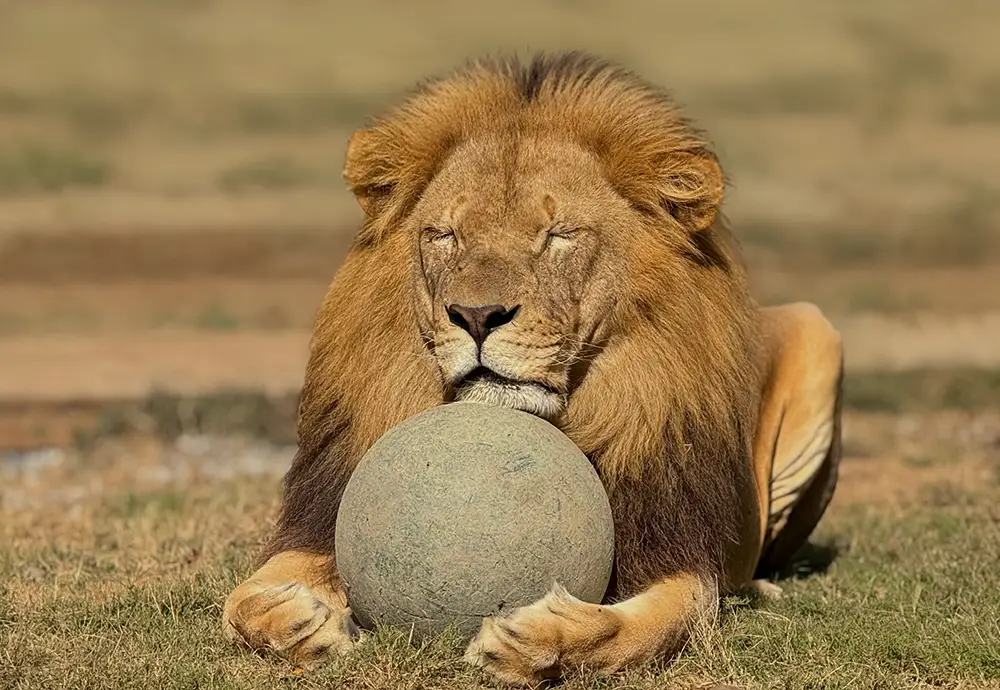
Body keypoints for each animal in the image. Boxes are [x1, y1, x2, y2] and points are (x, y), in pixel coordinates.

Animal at [221, 51, 844, 686]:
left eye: (559, 236)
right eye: (444, 235)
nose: (476, 316)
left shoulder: (679, 546)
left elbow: (655, 622)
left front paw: (538, 640)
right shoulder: (318, 518)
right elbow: (241, 599)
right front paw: (296, 625)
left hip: (818, 331)